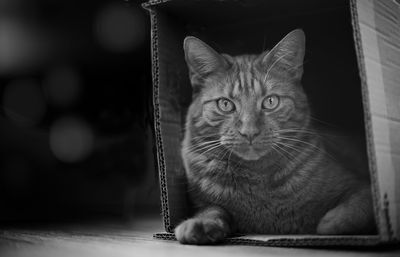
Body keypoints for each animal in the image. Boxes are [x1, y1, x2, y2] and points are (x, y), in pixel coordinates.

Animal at [175, 29, 376, 243]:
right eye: (225, 104)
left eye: (270, 101)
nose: (249, 131)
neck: (256, 179)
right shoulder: (203, 202)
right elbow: (212, 209)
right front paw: (199, 224)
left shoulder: (360, 185)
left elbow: (358, 205)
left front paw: (329, 224)